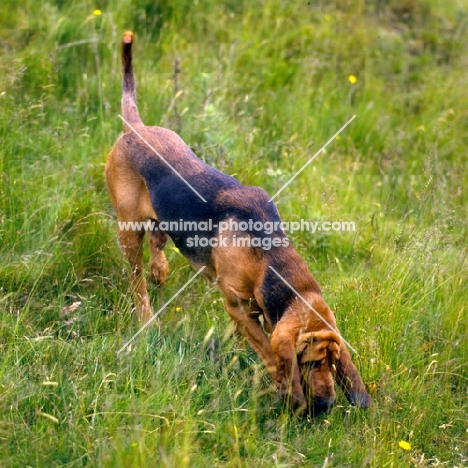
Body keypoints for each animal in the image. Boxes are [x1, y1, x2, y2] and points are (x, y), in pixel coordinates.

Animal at [105, 31, 370, 414]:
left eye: (334, 362)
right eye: (311, 362)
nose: (325, 405)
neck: (268, 258)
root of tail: (135, 128)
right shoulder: (239, 308)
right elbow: (270, 355)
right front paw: (284, 389)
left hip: (160, 219)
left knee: (157, 245)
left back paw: (160, 272)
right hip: (128, 230)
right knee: (136, 279)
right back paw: (146, 315)